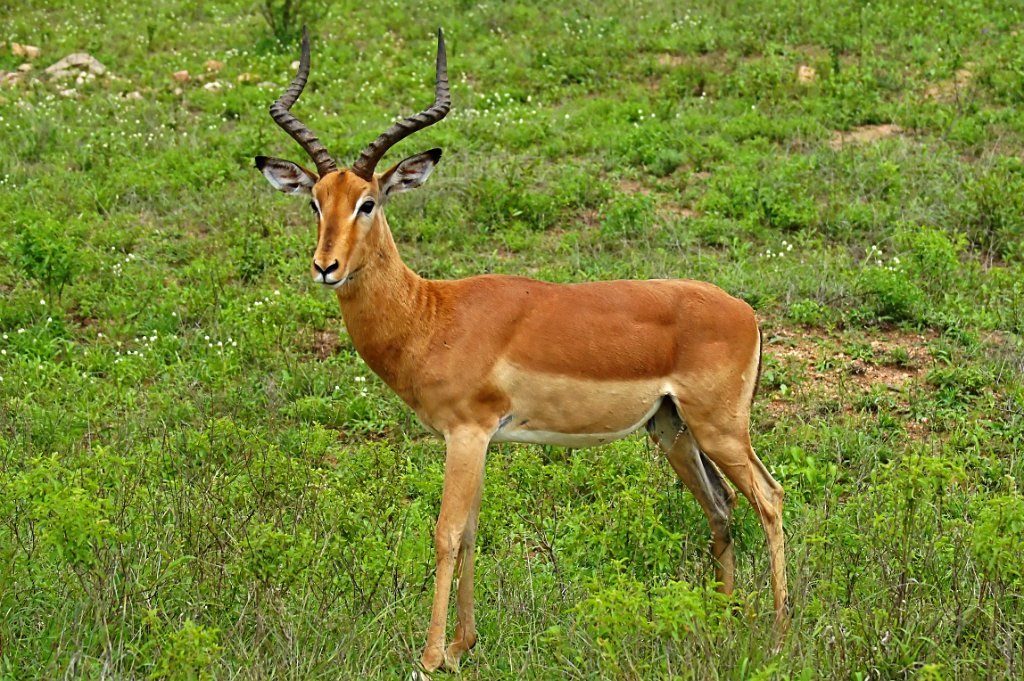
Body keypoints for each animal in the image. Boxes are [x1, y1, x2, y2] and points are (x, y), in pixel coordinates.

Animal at [255, 27, 788, 675]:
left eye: (368, 202)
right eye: (315, 202)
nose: (325, 266)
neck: (432, 315)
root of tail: (746, 312)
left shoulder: (466, 432)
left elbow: (446, 531)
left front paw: (430, 658)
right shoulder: (483, 439)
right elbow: (472, 530)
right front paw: (462, 647)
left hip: (721, 428)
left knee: (770, 499)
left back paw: (781, 634)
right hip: (673, 430)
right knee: (722, 506)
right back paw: (724, 618)